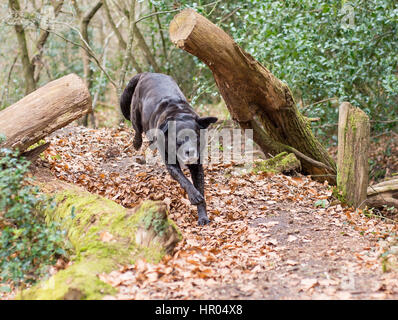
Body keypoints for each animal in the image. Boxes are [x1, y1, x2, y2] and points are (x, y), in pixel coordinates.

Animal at [120, 72, 218, 225]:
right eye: (178, 140)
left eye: (196, 137)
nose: (190, 152)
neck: (179, 114)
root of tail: (147, 73)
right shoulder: (171, 163)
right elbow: (184, 180)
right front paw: (194, 196)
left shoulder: (197, 166)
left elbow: (200, 188)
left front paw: (203, 216)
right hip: (136, 111)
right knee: (136, 128)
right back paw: (137, 143)